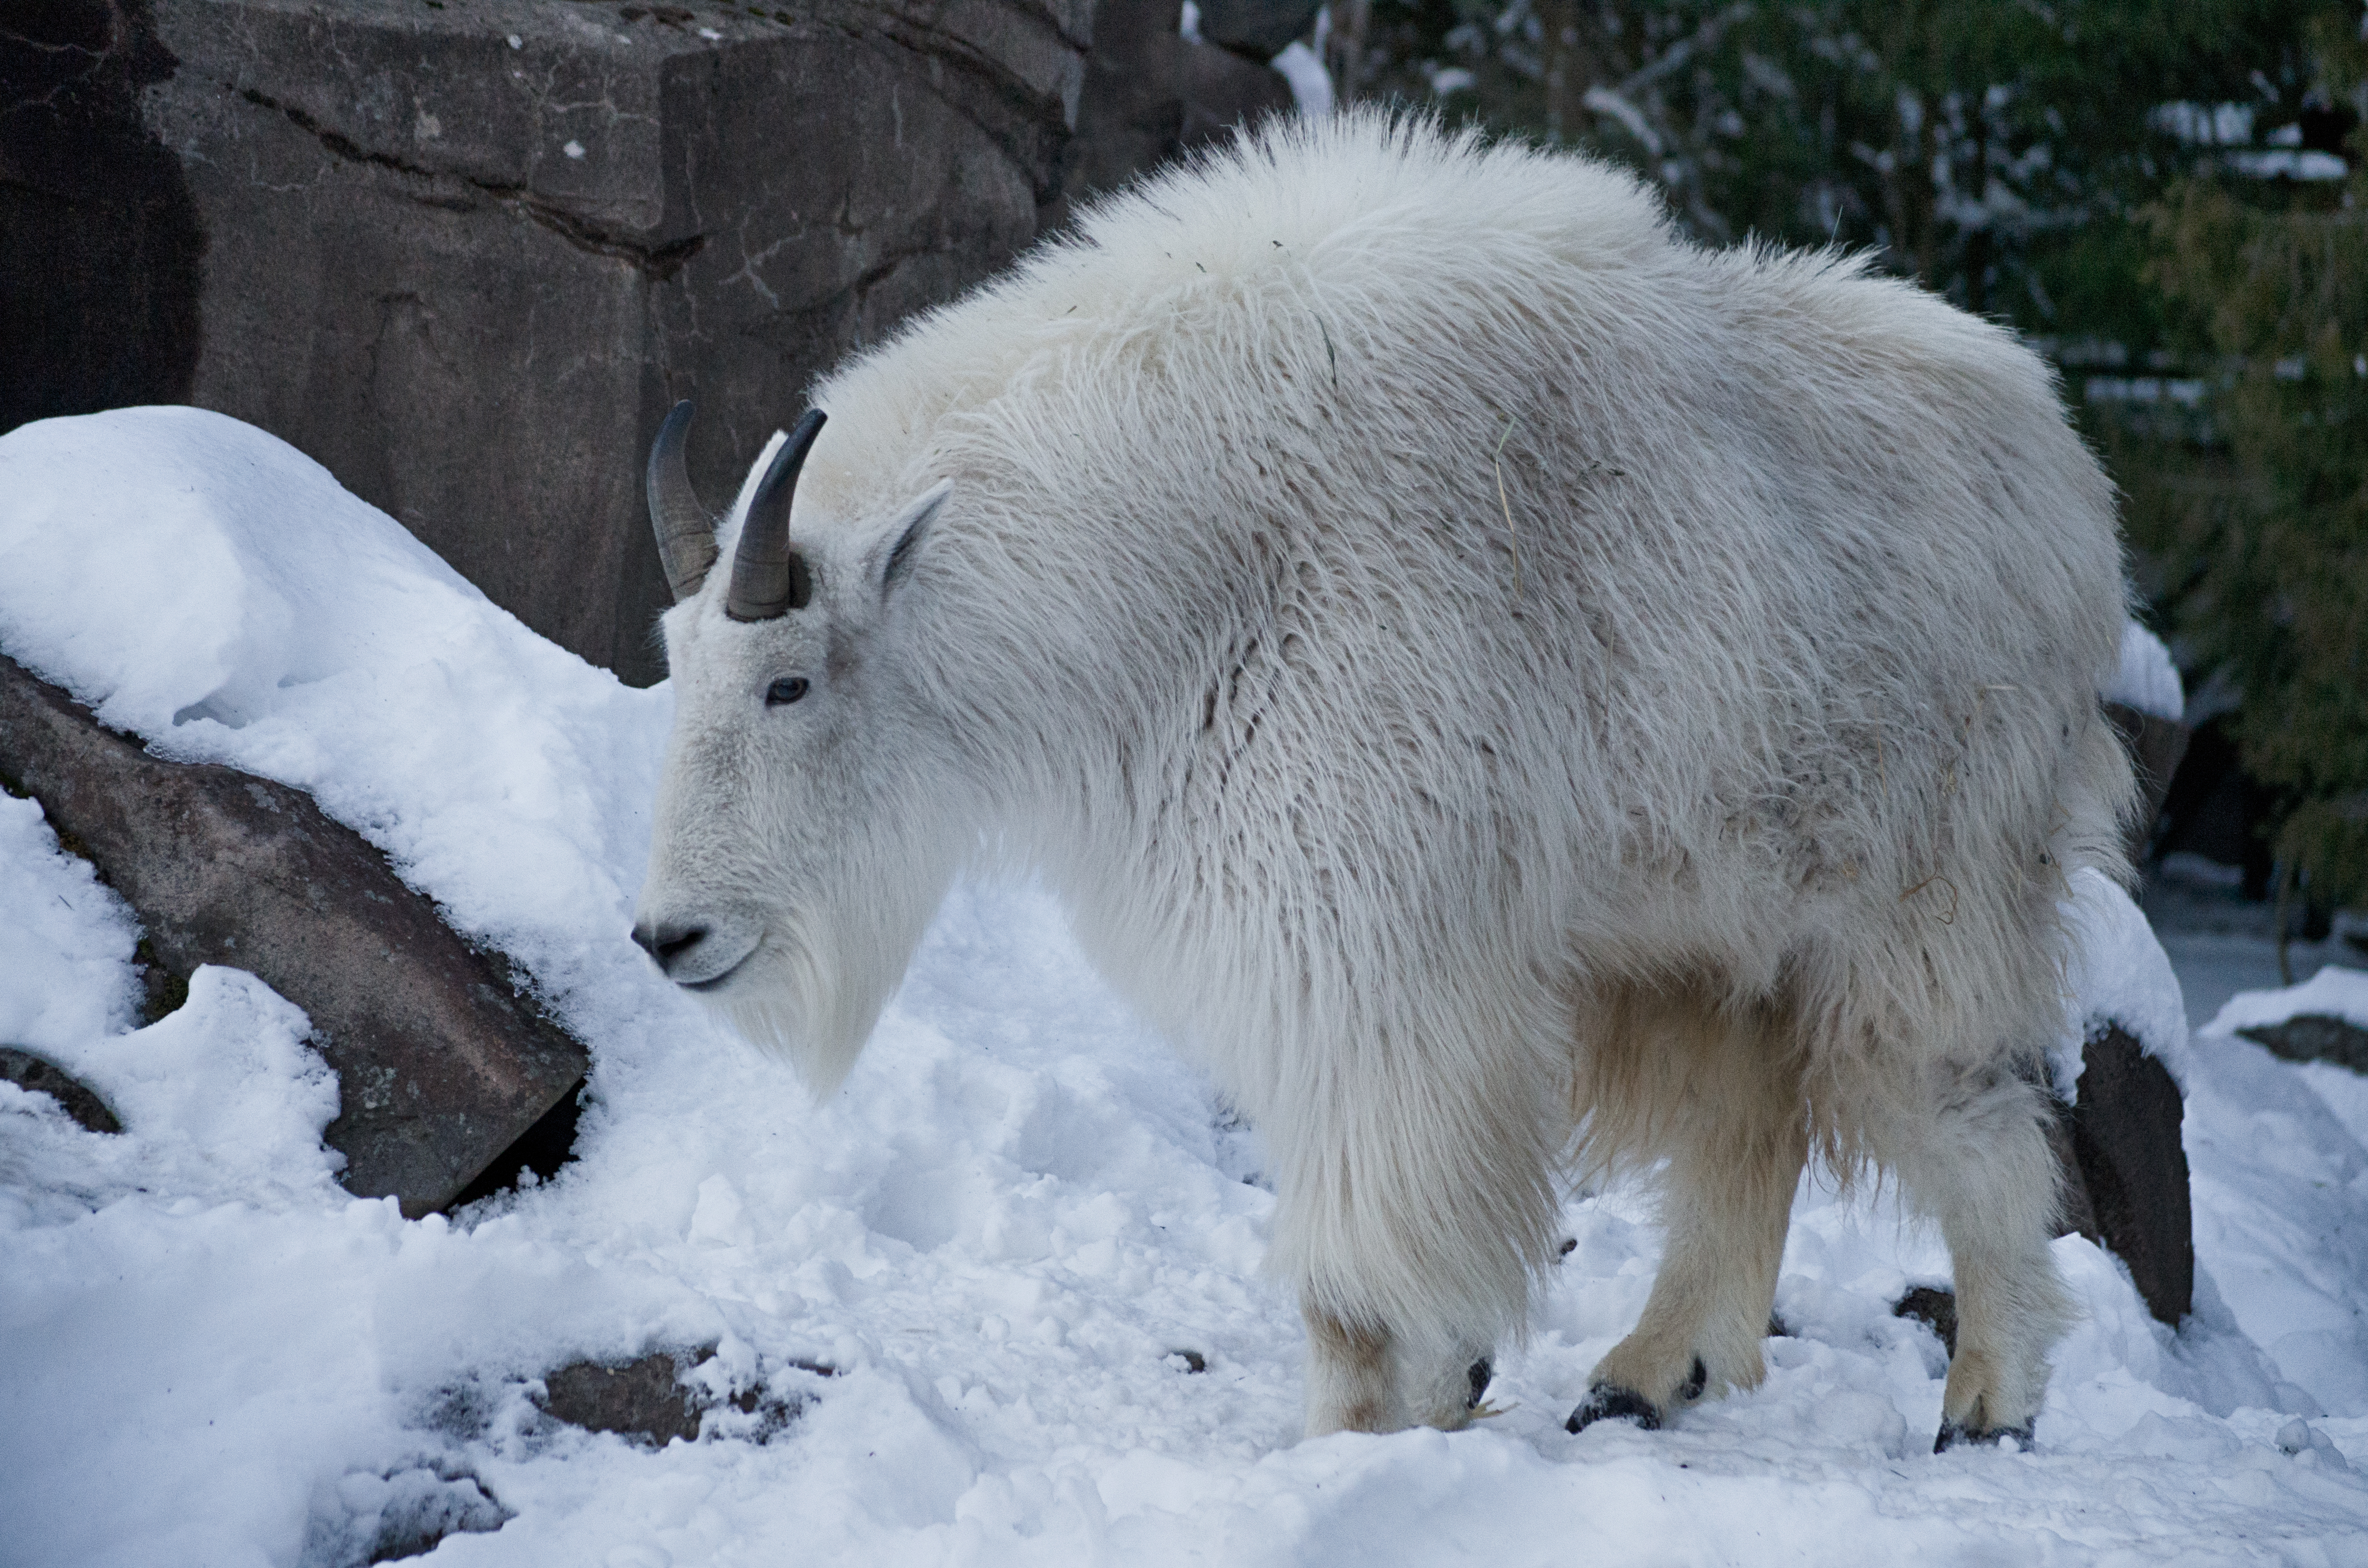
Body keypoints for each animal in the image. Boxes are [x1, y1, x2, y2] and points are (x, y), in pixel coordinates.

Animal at [629, 116, 2131, 1459]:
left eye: (787, 684)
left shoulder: (1375, 957)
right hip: (1697, 930)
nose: (670, 937)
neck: (1186, 558)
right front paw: (1437, 1399)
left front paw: (1355, 1442)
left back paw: (1989, 1406)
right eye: (674, 659)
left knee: (1975, 1116)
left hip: (1921, 898)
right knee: (1744, 1126)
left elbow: (1357, 1264)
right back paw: (1648, 1376)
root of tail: (2067, 473)